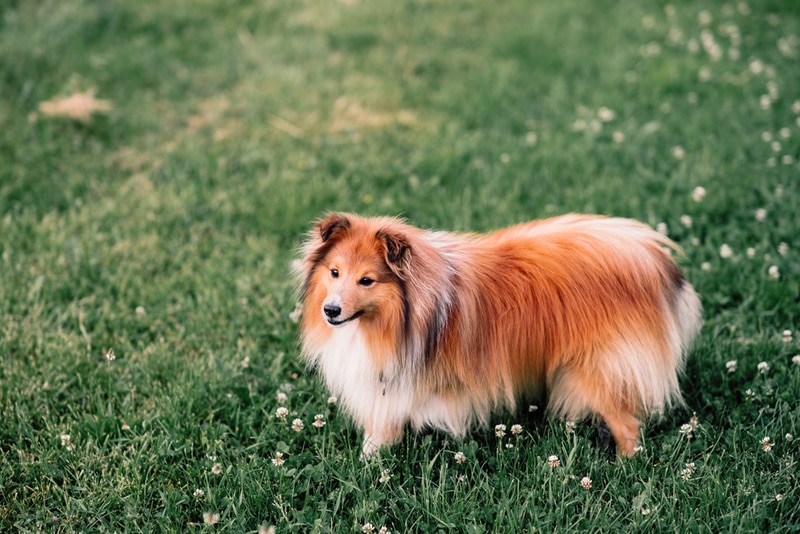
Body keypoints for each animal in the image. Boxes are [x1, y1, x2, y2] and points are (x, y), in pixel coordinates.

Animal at [298, 214, 700, 460]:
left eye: (367, 280)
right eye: (334, 272)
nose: (330, 311)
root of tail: (649, 255)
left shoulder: (395, 380)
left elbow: (381, 425)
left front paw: (368, 464)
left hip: (599, 367)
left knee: (627, 425)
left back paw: (626, 467)